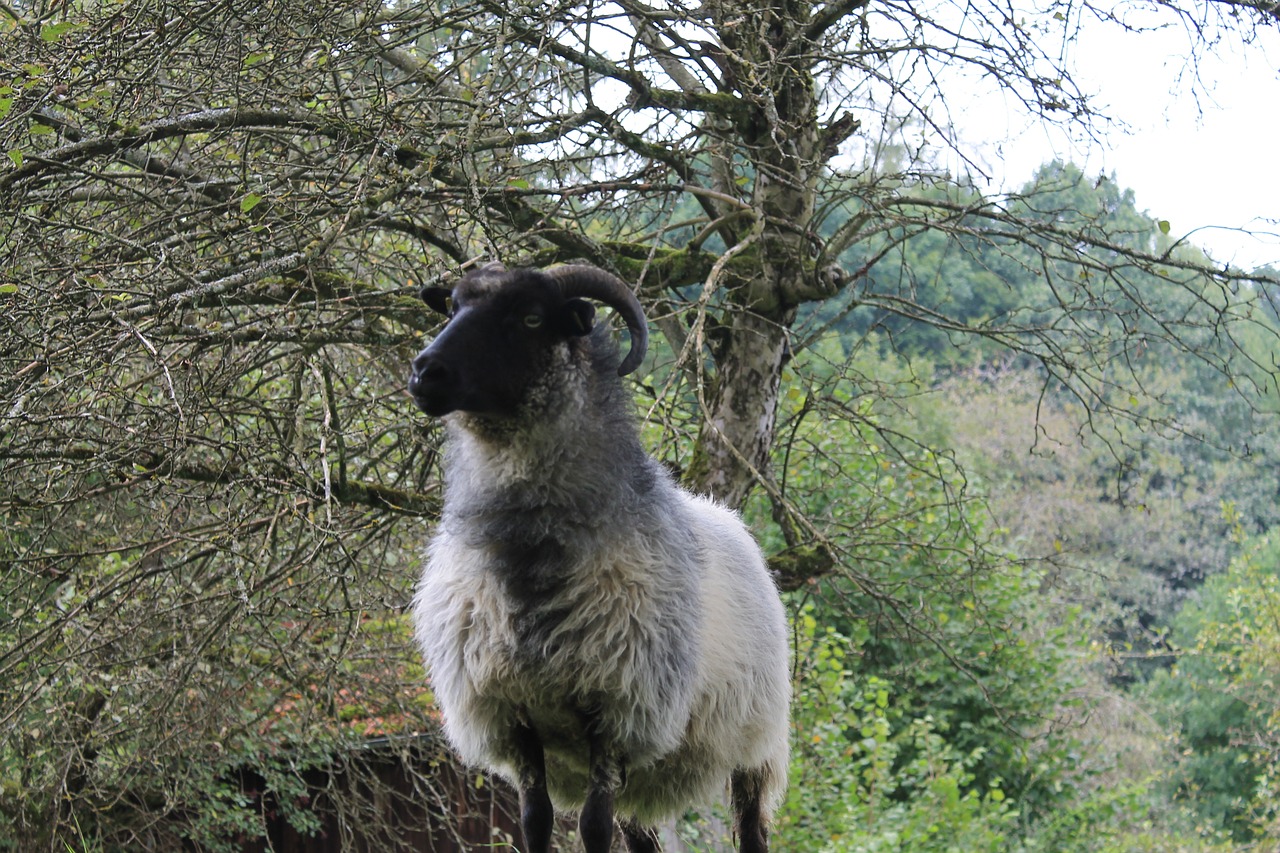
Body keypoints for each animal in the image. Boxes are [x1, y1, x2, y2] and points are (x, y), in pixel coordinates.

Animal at [407, 261, 788, 850]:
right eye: (451, 306)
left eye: (531, 317)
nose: (425, 372)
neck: (527, 558)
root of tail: (733, 523)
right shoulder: (512, 714)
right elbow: (535, 820)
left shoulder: (616, 712)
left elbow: (593, 825)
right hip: (647, 779)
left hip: (757, 746)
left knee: (751, 830)